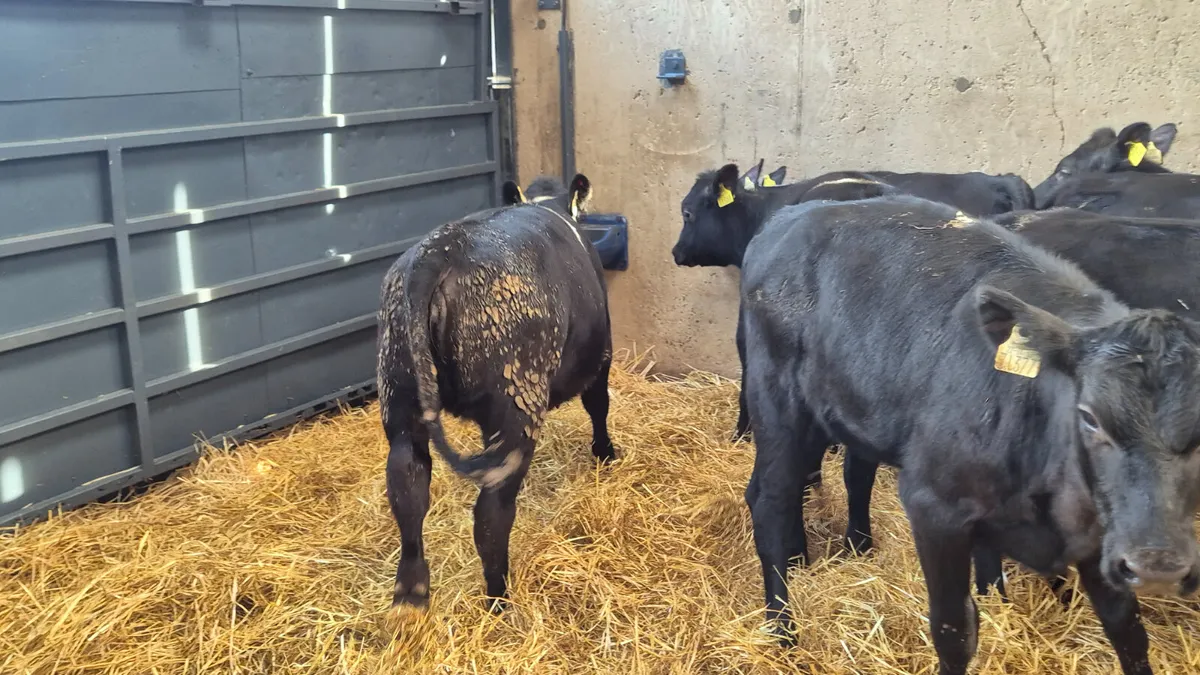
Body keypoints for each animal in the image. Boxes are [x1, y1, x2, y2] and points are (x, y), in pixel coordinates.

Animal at [377, 173, 618, 613]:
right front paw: (606, 454)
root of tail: (439, 251)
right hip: (514, 403)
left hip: (399, 395)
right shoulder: (602, 353)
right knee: (491, 512)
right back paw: (499, 599)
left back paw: (411, 596)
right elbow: (599, 405)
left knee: (408, 486)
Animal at [741, 195, 1200, 674]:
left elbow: (1127, 629)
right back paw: (783, 633)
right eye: (1088, 416)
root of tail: (796, 213)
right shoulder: (934, 508)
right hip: (779, 403)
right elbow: (954, 630)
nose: (1159, 566)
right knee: (771, 501)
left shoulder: (1103, 535)